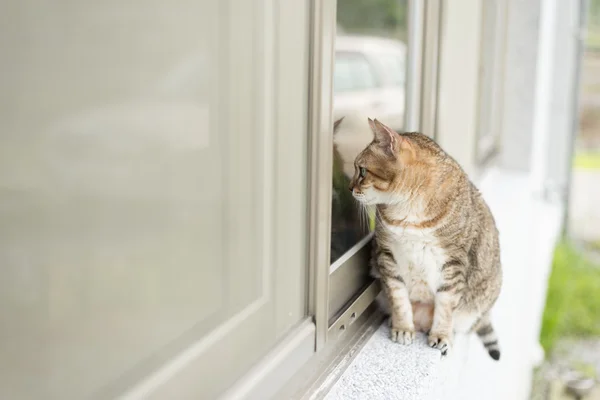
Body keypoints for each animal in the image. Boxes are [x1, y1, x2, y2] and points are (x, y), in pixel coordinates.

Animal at [350, 118, 504, 360]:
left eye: (363, 170)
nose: (350, 188)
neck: (408, 208)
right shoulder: (387, 256)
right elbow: (400, 299)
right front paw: (403, 328)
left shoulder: (453, 264)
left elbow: (445, 306)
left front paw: (441, 335)